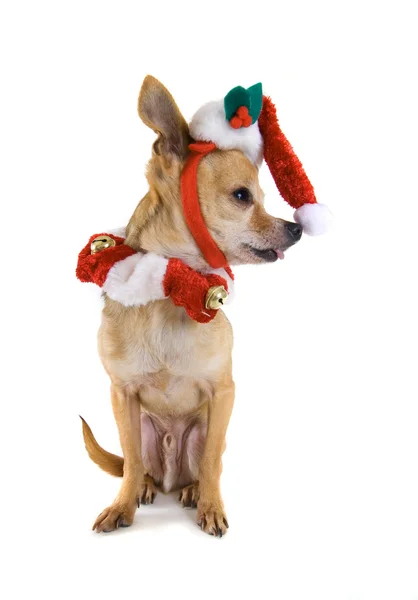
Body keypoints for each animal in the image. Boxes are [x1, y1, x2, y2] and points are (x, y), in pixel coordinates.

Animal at [81, 74, 302, 536]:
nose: (295, 228)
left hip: (201, 429)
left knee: (200, 466)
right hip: (143, 430)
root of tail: (170, 477)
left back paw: (191, 491)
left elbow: (213, 462)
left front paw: (211, 506)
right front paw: (121, 506)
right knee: (138, 465)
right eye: (242, 196)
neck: (174, 290)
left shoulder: (223, 394)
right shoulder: (122, 396)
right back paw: (147, 488)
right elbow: (129, 464)